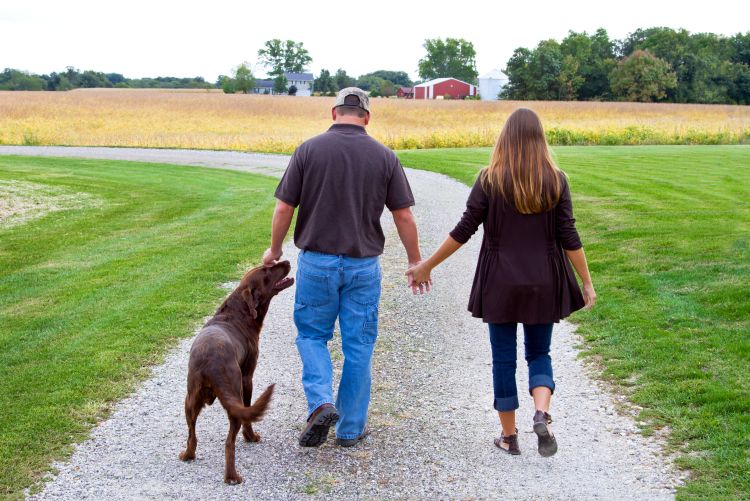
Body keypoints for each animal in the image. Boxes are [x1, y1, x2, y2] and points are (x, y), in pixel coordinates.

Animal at [178, 260, 294, 482]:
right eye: (266, 271)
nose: (285, 261)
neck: (239, 312)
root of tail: (209, 365)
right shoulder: (248, 378)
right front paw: (251, 437)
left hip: (190, 400)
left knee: (191, 435)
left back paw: (188, 455)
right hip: (235, 396)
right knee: (229, 442)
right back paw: (232, 476)